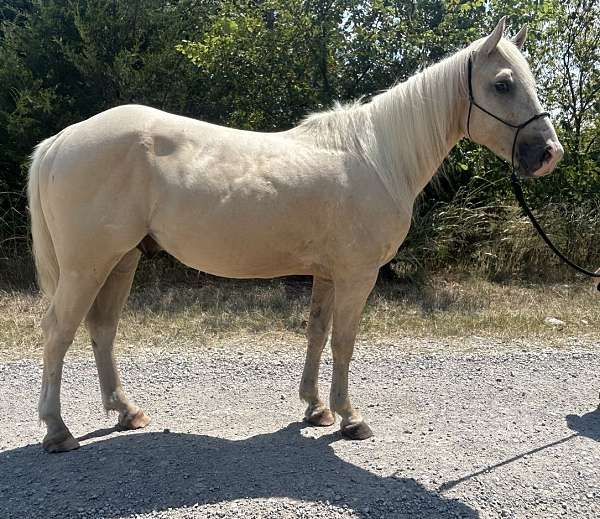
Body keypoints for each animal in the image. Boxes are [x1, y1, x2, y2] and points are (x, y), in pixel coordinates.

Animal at [27, 18, 564, 452]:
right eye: (502, 84)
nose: (548, 153)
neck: (377, 156)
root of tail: (61, 140)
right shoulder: (357, 274)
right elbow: (344, 339)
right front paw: (350, 418)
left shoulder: (327, 273)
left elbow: (317, 332)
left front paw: (316, 407)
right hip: (88, 264)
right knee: (58, 332)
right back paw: (58, 431)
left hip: (122, 259)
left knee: (102, 329)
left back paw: (126, 412)